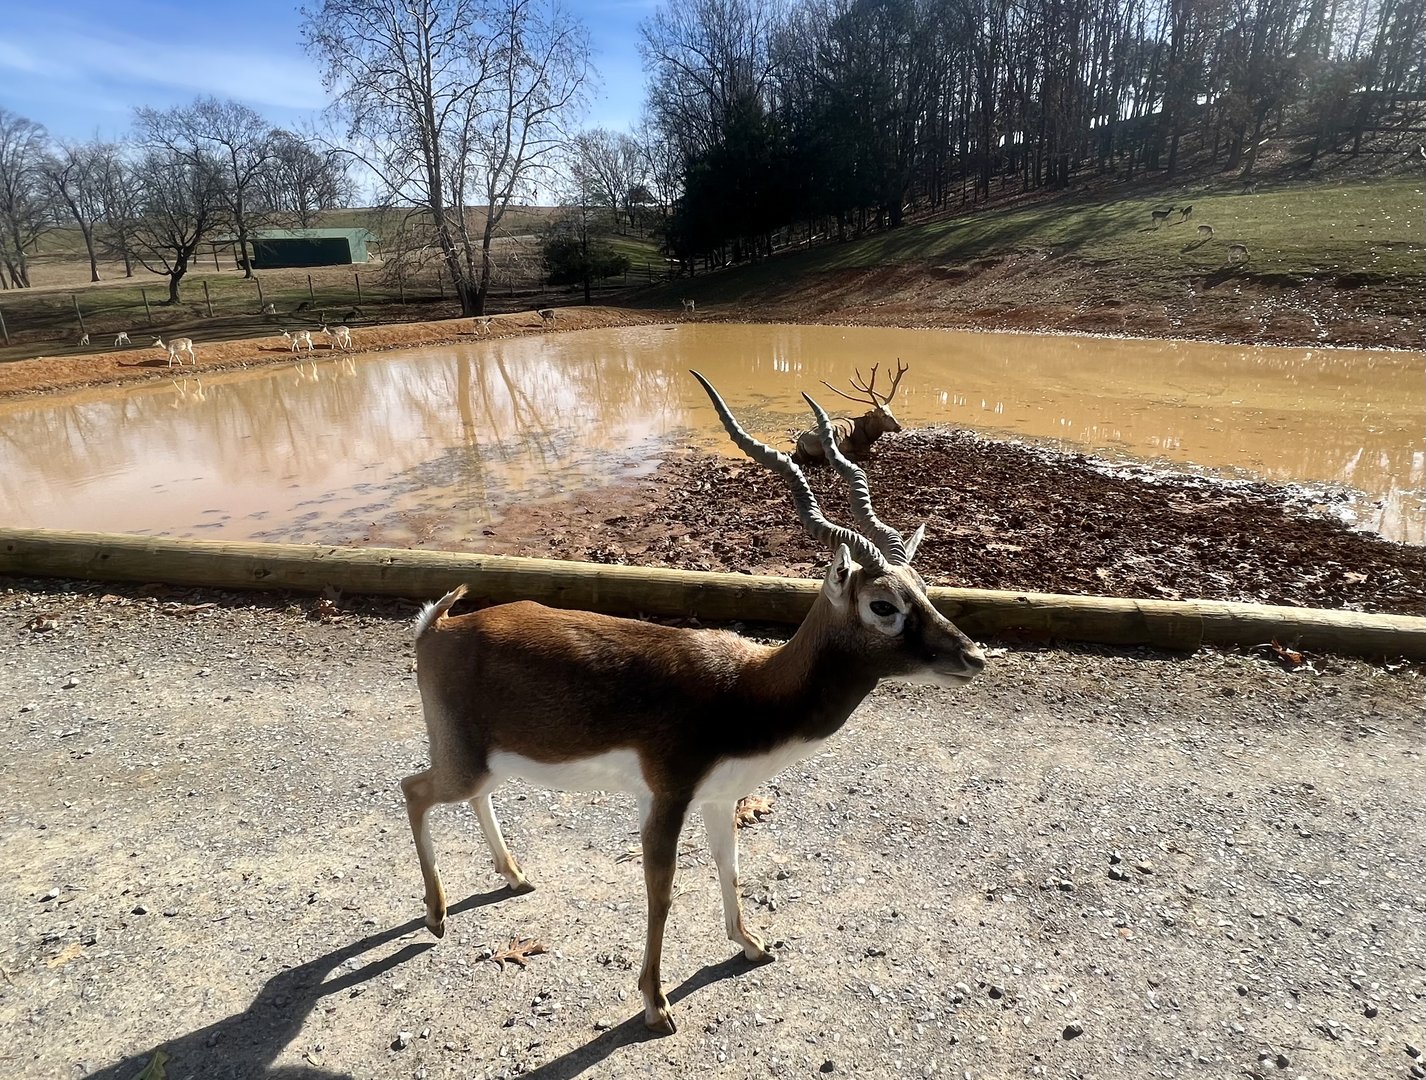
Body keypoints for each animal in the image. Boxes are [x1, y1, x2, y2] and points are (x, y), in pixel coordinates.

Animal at [401, 371, 987, 1035]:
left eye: (923, 588)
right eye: (883, 605)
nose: (973, 657)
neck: (748, 688)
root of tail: (438, 626)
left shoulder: (720, 797)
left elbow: (729, 867)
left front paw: (752, 944)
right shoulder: (667, 797)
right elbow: (662, 890)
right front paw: (656, 1004)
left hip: (489, 760)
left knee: (472, 796)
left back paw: (516, 876)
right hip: (463, 759)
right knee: (413, 790)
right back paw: (436, 916)